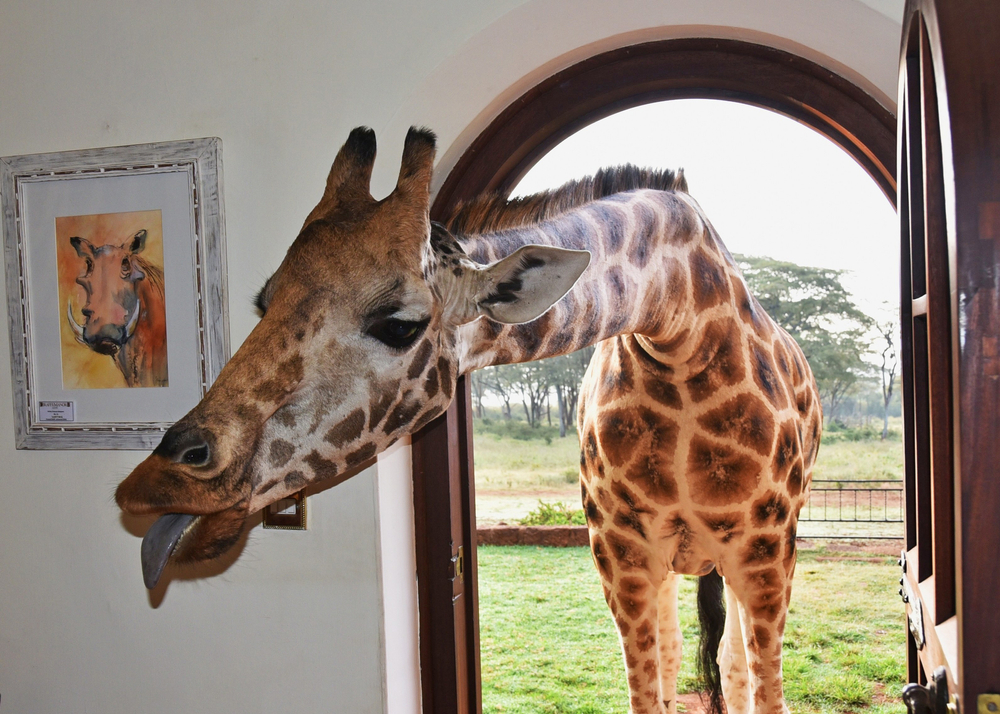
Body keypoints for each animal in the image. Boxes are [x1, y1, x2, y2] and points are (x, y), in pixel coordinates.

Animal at [115, 126, 821, 714]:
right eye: (265, 302)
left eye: (399, 324)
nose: (152, 484)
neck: (676, 329)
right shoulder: (619, 553)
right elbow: (651, 689)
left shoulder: (768, 554)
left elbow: (762, 688)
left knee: (732, 666)